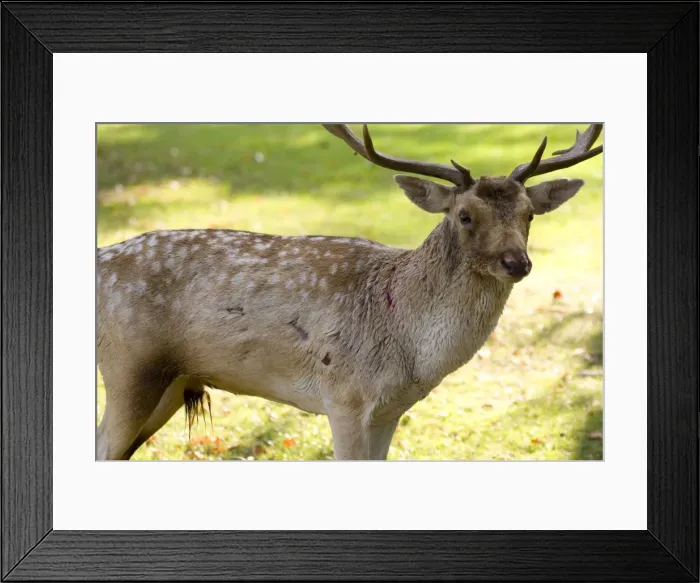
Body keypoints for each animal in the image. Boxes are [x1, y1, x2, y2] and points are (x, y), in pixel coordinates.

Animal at [96, 123, 603, 461]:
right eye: (464, 215)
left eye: (529, 215)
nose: (518, 263)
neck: (410, 354)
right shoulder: (342, 395)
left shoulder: (387, 411)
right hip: (129, 367)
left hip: (171, 382)